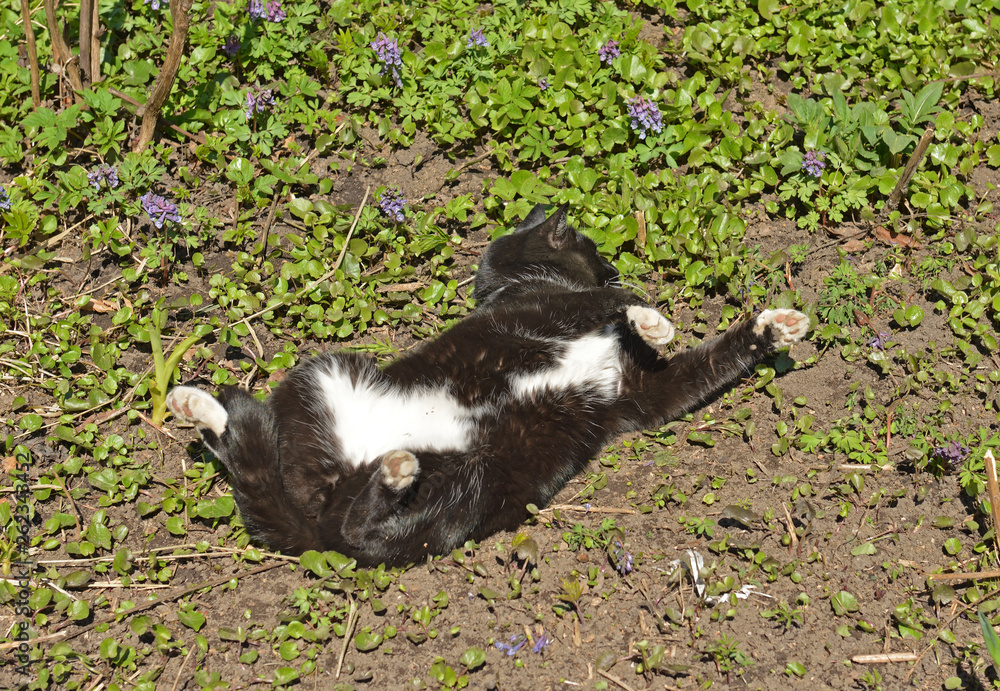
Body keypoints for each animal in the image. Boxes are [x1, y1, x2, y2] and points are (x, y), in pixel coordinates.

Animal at [168, 204, 808, 568]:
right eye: (597, 254)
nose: (616, 268)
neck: (521, 283)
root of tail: (321, 504)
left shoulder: (642, 396)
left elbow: (701, 367)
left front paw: (773, 328)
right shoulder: (542, 311)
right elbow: (599, 303)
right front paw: (649, 314)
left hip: (459, 479)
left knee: (285, 485)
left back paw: (200, 407)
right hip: (338, 384)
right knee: (349, 531)